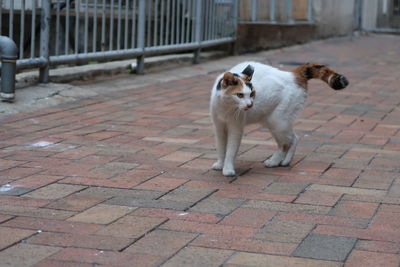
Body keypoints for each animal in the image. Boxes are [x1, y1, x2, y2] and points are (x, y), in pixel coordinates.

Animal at [211, 61, 348, 177]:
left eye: (252, 94)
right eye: (239, 95)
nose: (250, 104)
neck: (226, 108)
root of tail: (292, 74)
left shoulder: (236, 129)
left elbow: (231, 149)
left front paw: (228, 169)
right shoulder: (219, 127)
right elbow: (221, 147)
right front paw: (220, 164)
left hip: (277, 121)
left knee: (287, 142)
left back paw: (275, 162)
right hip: (277, 122)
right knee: (292, 138)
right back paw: (284, 161)